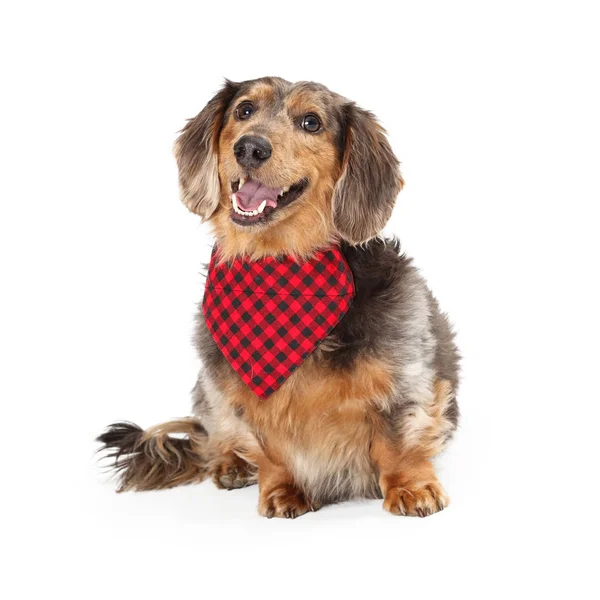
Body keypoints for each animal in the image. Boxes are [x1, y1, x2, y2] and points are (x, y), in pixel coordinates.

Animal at [98, 76, 462, 516]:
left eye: (311, 122)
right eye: (244, 110)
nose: (250, 148)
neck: (278, 265)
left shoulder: (407, 376)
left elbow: (399, 437)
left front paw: (410, 486)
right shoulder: (235, 392)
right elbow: (267, 447)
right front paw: (281, 488)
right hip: (208, 390)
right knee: (217, 436)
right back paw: (231, 462)